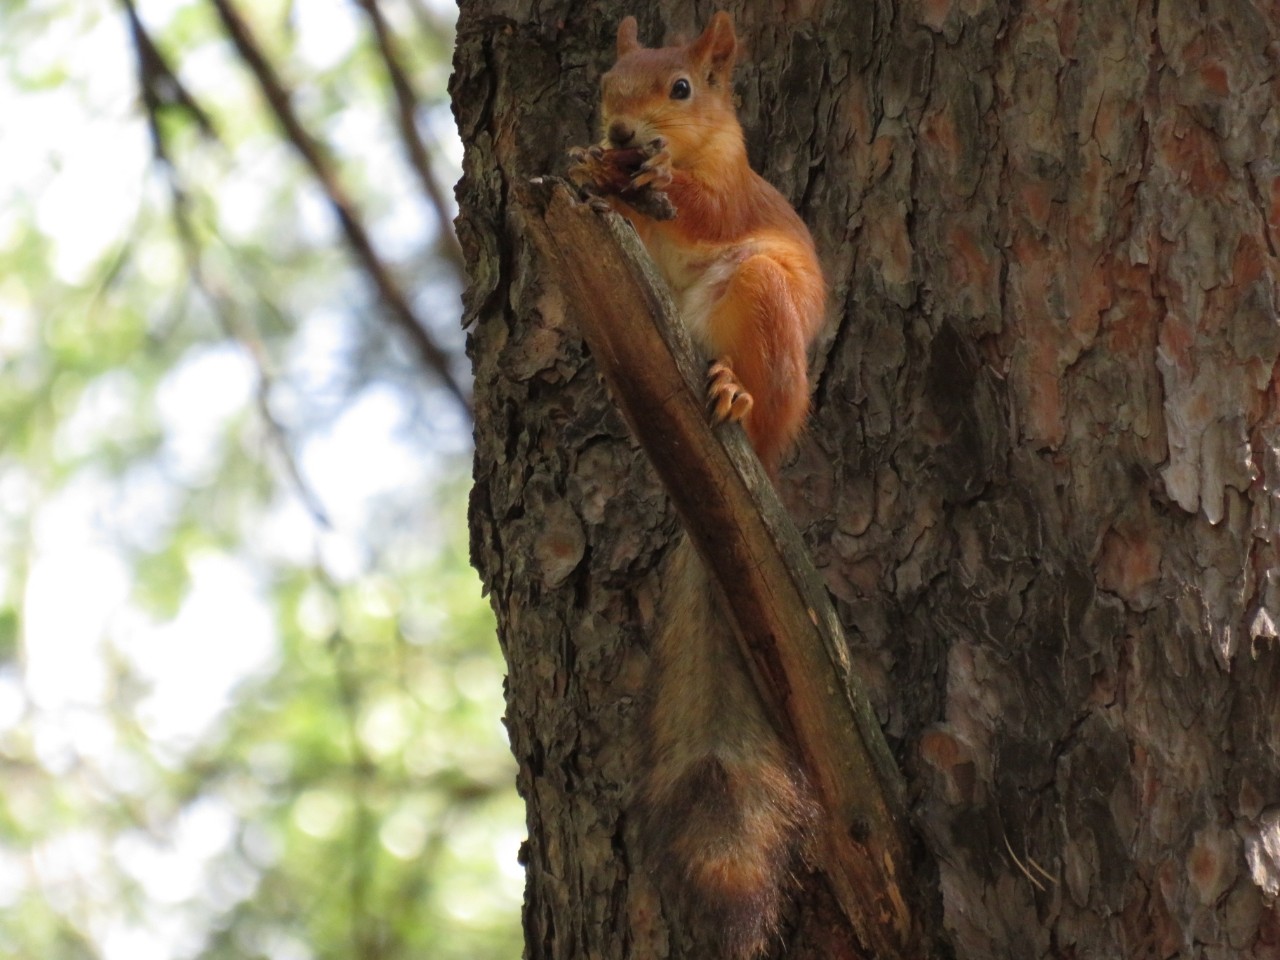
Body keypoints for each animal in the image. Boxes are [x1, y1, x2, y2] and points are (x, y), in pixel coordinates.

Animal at [569, 12, 828, 959]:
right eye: (606, 83)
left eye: (681, 88)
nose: (618, 134)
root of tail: (767, 454)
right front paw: (587, 169)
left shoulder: (736, 197)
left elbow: (705, 204)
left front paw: (654, 177)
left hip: (758, 296)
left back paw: (733, 395)